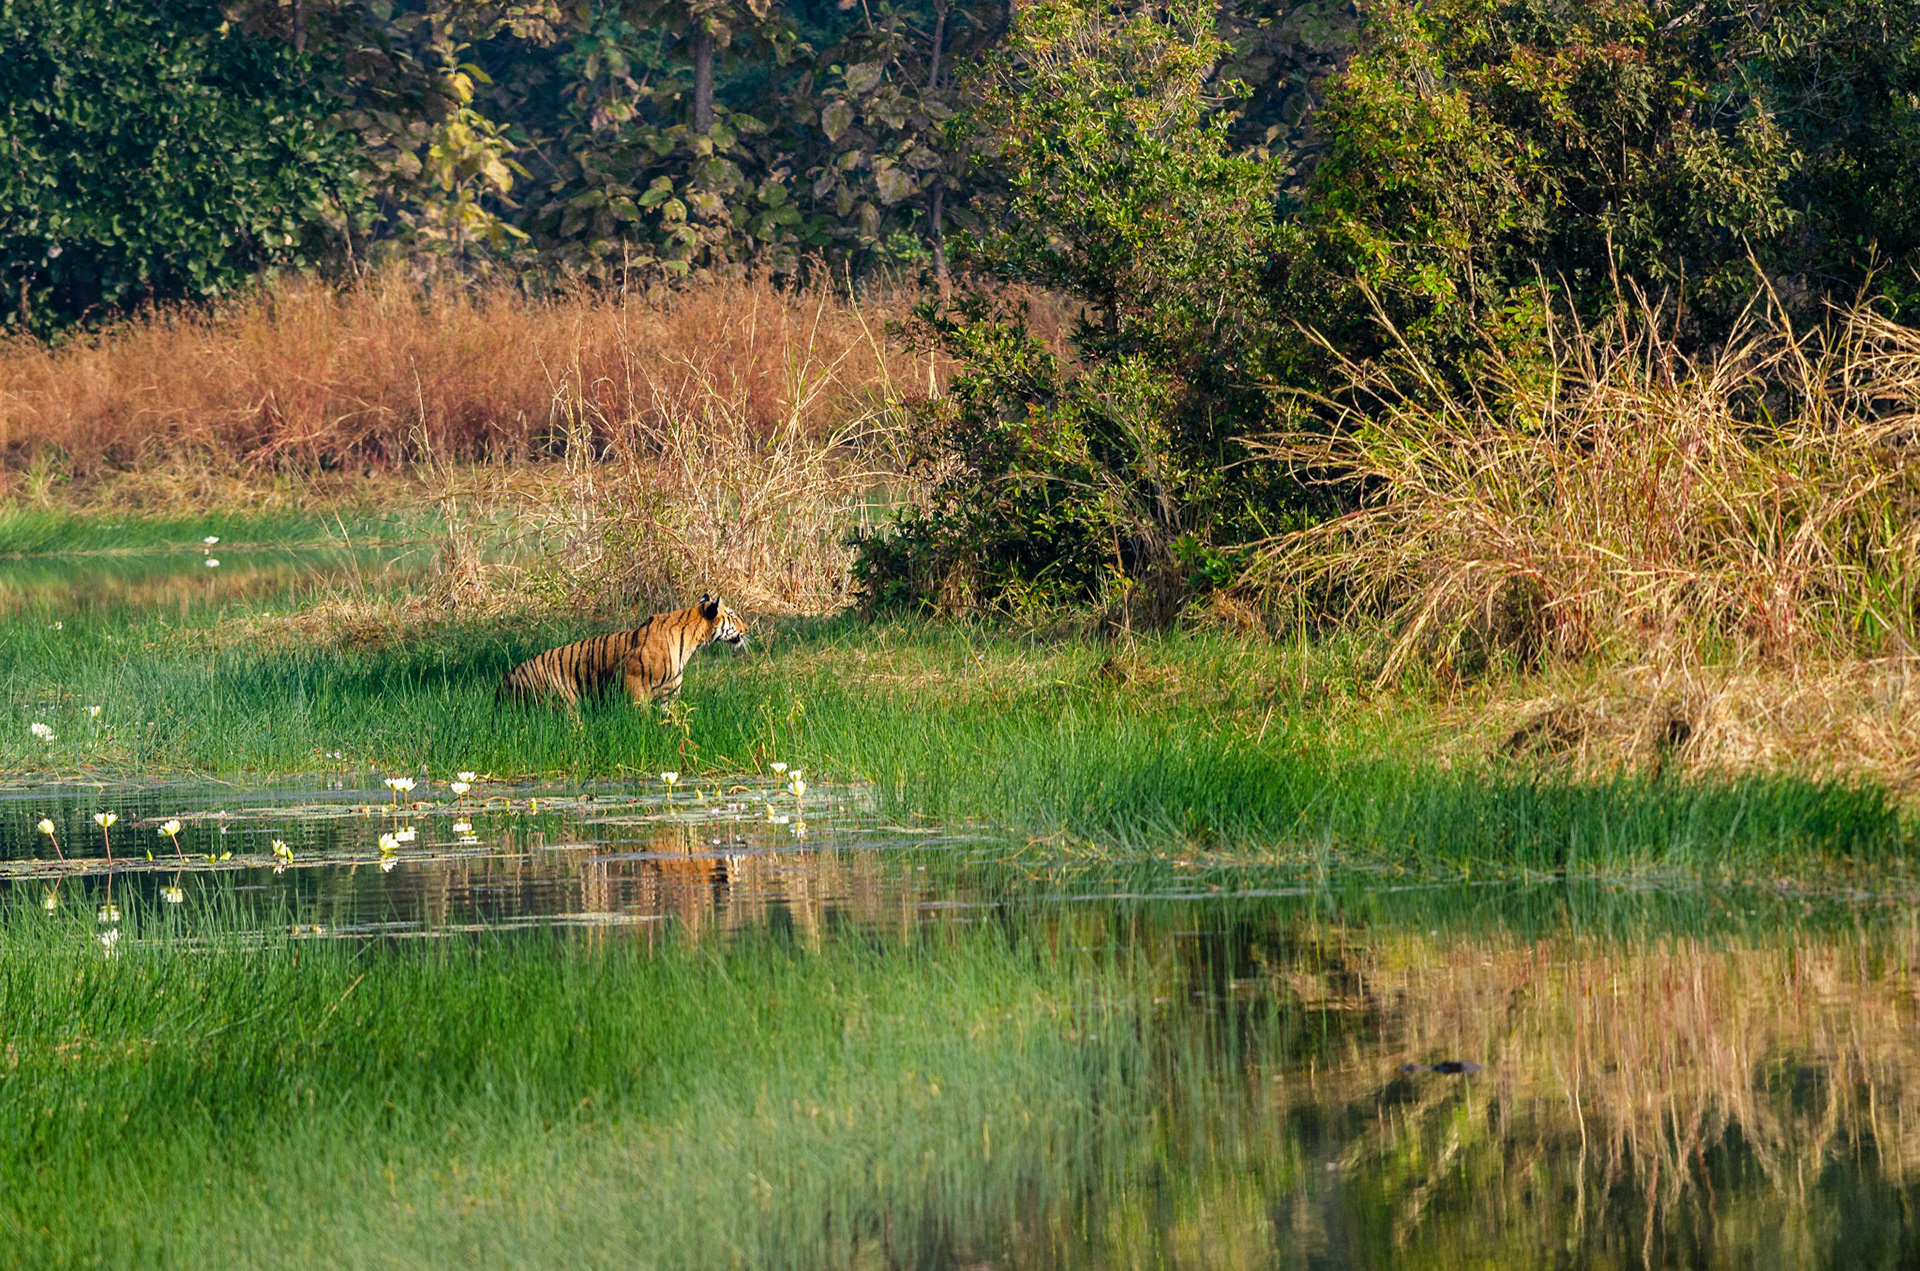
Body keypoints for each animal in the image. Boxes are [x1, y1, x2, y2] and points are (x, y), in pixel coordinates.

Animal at [496, 593, 747, 709]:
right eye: (733, 615)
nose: (746, 629)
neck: (693, 641)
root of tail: (505, 679)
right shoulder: (633, 680)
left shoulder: (669, 692)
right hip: (563, 701)